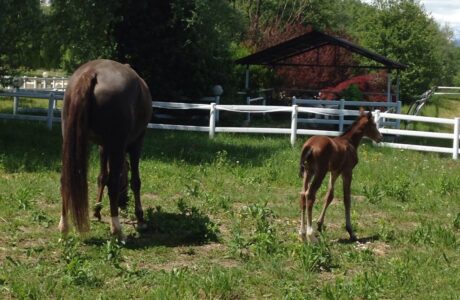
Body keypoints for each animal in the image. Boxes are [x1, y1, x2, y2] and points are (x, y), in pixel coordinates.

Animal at [58, 59, 153, 239]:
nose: (123, 202)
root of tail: (91, 72)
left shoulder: (103, 146)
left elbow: (102, 177)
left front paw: (96, 211)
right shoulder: (136, 143)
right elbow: (135, 181)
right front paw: (140, 219)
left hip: (69, 141)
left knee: (65, 180)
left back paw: (64, 226)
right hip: (118, 145)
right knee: (113, 182)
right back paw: (117, 229)